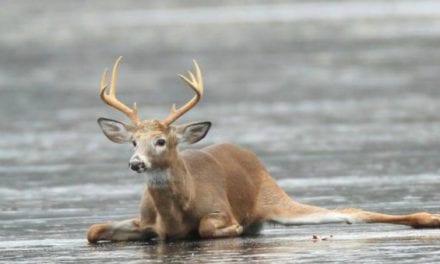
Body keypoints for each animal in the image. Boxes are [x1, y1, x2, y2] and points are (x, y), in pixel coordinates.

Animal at [86, 56, 440, 243]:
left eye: (161, 141)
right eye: (134, 141)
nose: (135, 163)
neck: (174, 213)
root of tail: (249, 156)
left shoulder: (218, 209)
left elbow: (207, 227)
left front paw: (234, 227)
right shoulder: (146, 222)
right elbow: (93, 229)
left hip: (274, 198)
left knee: (352, 213)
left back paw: (431, 218)